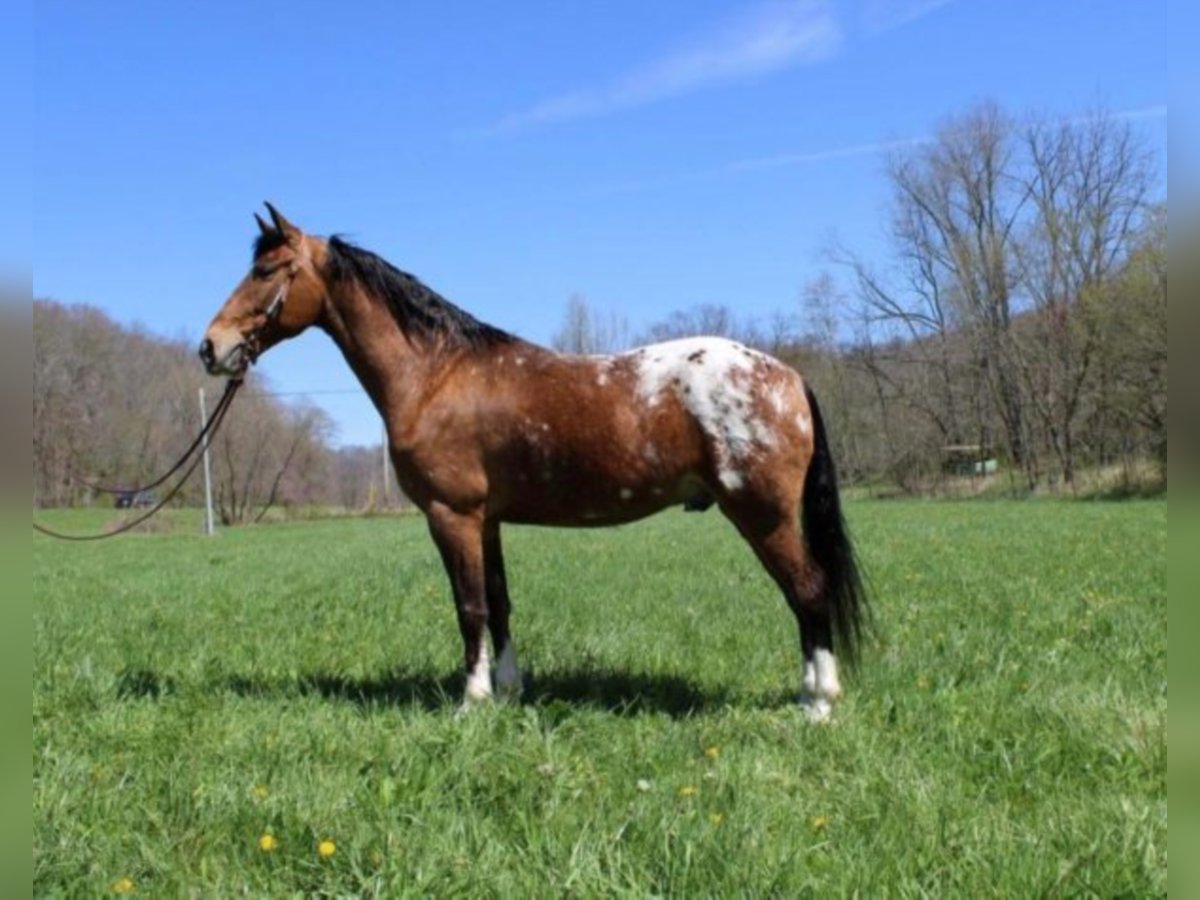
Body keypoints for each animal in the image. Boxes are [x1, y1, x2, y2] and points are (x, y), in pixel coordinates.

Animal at [204, 206, 864, 724]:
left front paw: (471, 701)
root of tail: (788, 375)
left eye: (266, 271)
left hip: (763, 516)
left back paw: (819, 704)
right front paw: (509, 690)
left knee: (809, 591)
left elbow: (469, 607)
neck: (436, 374)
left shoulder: (452, 516)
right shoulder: (488, 521)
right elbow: (499, 604)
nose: (212, 347)